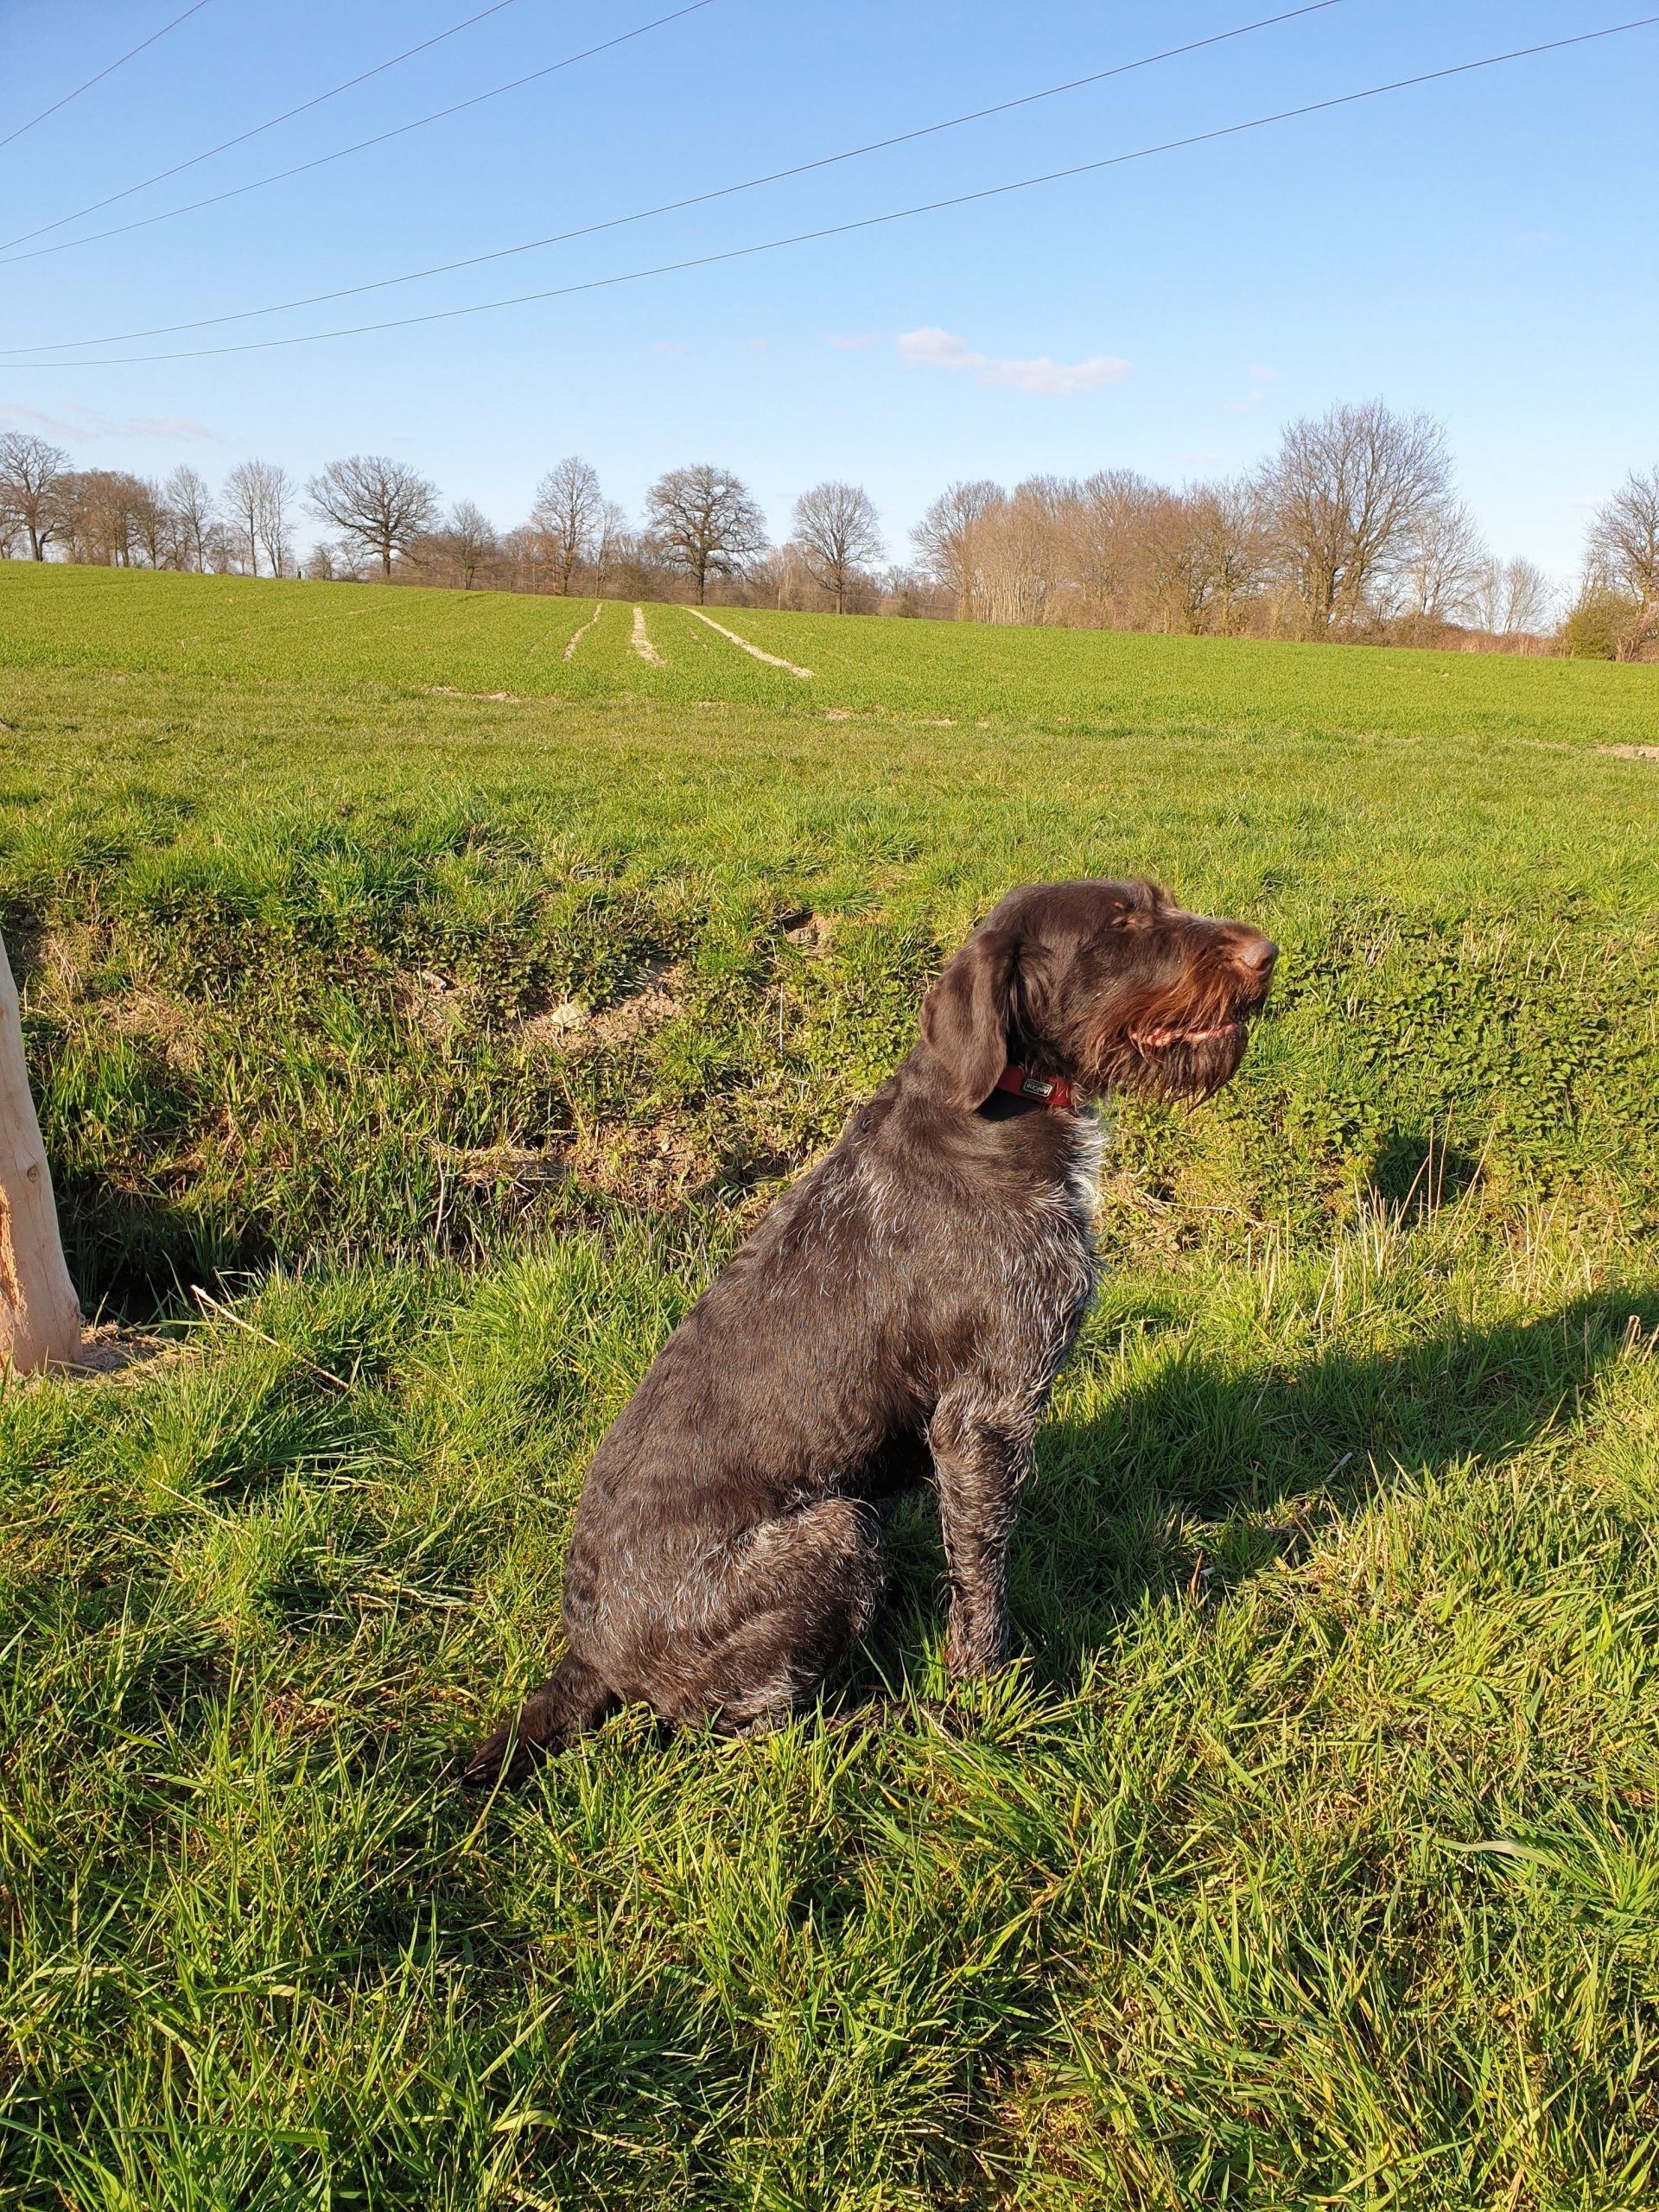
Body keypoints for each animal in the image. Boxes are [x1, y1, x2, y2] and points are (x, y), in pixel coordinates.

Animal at [465, 878, 1276, 1782]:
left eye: (1157, 902)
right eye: (1119, 924)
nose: (1267, 954)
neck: (996, 1110)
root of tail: (588, 1654)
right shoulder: (984, 1415)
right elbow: (985, 1571)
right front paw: (988, 1692)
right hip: (838, 1532)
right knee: (758, 1726)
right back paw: (880, 1721)